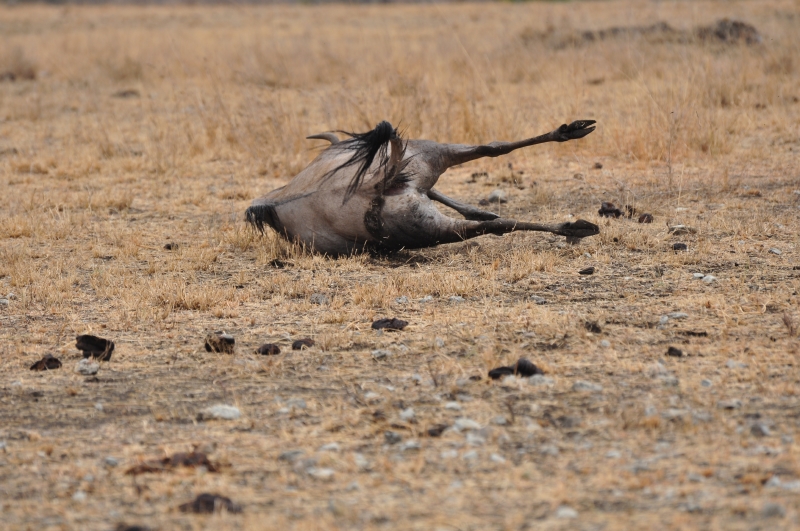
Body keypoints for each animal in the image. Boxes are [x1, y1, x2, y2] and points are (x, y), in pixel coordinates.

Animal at [246, 120, 599, 255]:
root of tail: (377, 186)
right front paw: (482, 211)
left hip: (423, 171)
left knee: (491, 150)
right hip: (425, 216)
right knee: (494, 213)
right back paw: (577, 226)